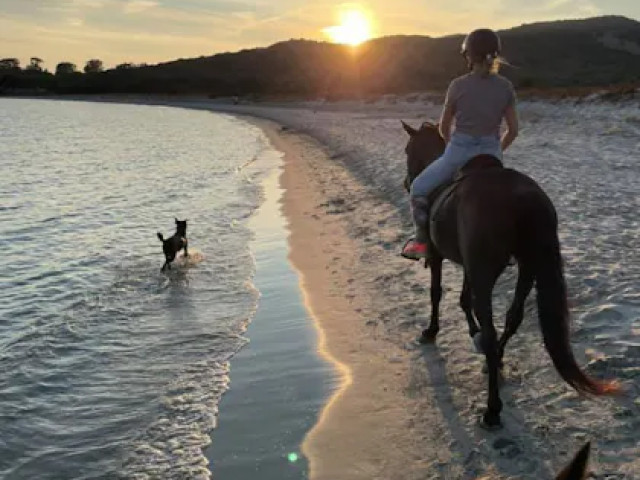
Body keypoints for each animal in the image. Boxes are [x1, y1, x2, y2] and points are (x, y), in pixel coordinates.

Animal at [401, 121, 619, 428]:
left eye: (408, 149)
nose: (407, 183)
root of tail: (523, 198)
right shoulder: (469, 264)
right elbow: (464, 299)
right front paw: (473, 332)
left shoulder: (439, 256)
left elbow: (437, 293)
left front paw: (431, 331)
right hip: (528, 266)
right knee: (512, 317)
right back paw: (496, 359)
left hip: (488, 270)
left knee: (492, 328)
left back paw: (492, 408)